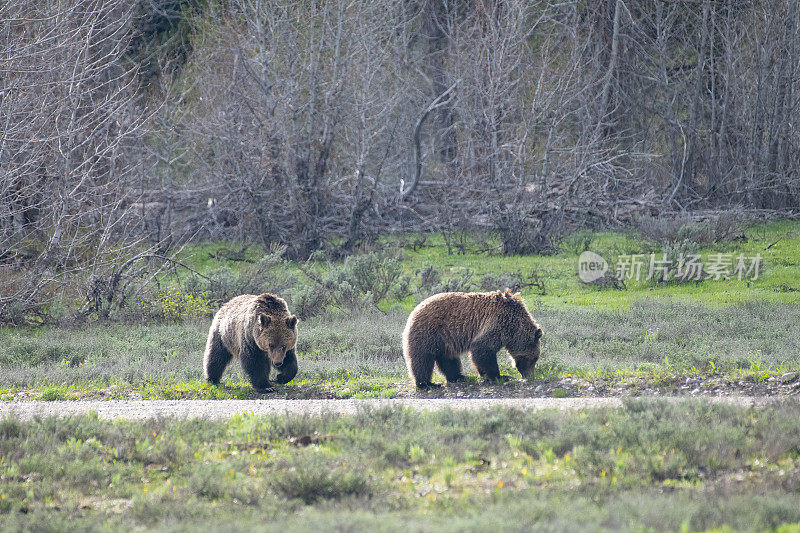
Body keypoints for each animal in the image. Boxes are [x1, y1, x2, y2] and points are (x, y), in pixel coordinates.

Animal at [400, 290, 544, 386]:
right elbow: (483, 349)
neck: (514, 326)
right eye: (534, 359)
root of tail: (414, 310)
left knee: (448, 359)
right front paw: (500, 376)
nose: (530, 376)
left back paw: (458, 377)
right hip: (429, 332)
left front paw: (485, 375)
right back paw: (426, 384)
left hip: (444, 340)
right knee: (422, 358)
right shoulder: (497, 323)